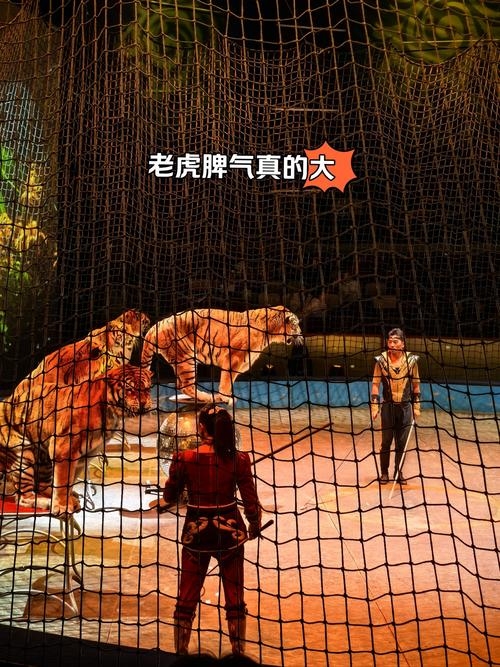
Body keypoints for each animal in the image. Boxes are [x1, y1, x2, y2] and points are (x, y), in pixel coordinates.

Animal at [0, 364, 153, 515]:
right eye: (130, 389)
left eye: (147, 389)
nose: (144, 404)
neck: (112, 413)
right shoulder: (63, 450)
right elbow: (62, 482)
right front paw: (61, 506)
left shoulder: (84, 455)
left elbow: (68, 482)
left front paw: (68, 500)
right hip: (25, 454)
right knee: (23, 497)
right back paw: (48, 502)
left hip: (44, 458)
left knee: (41, 485)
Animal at [141, 305, 304, 404]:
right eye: (296, 325)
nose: (302, 335)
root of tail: (155, 326)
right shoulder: (234, 358)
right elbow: (226, 380)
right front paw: (226, 397)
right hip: (186, 358)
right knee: (185, 385)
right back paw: (208, 397)